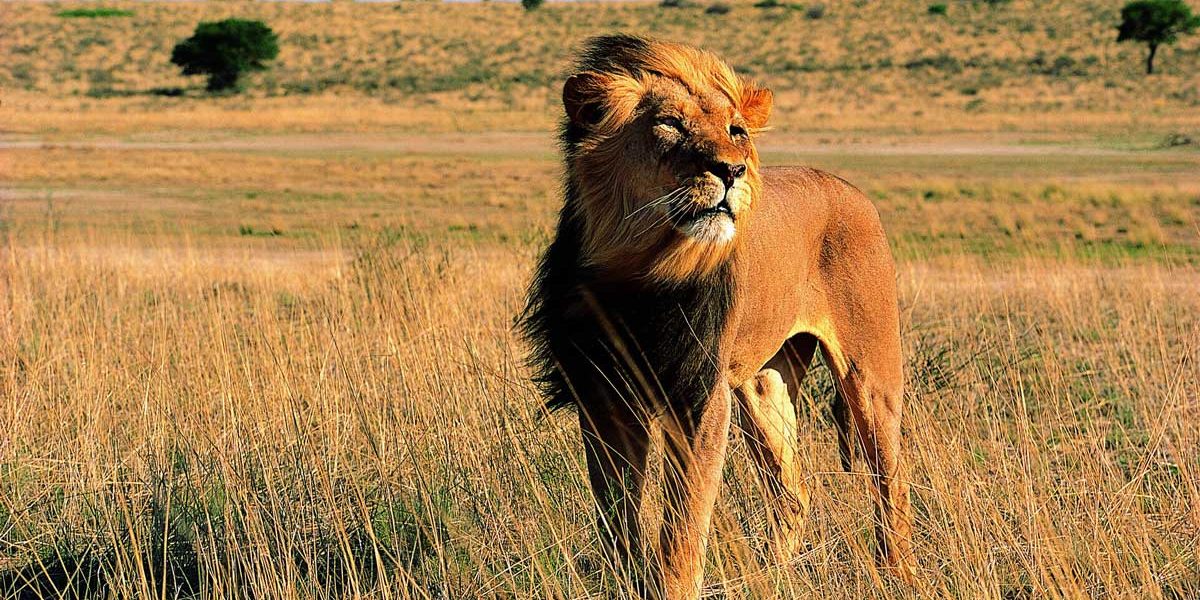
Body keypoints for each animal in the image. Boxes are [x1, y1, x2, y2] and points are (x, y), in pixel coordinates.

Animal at [520, 35, 915, 598]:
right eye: (670, 124)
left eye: (737, 131)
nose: (731, 171)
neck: (640, 270)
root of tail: (849, 187)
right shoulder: (602, 395)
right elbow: (617, 516)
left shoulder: (700, 396)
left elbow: (682, 529)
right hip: (763, 386)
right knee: (792, 495)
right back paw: (772, 577)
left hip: (871, 375)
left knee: (890, 482)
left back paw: (896, 573)